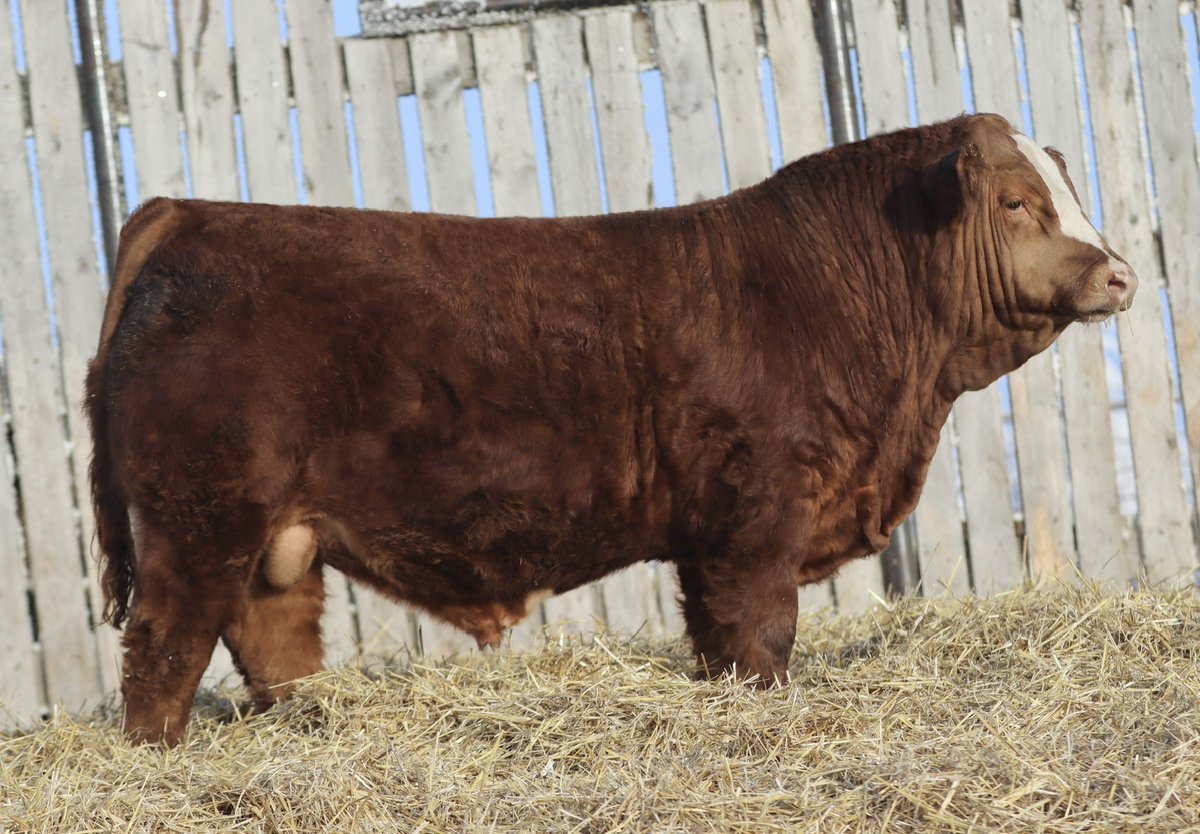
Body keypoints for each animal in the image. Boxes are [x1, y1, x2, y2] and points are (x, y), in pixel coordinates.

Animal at [86, 113, 1136, 745]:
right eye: (1015, 201)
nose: (1119, 272)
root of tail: (190, 213)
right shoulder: (755, 519)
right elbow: (760, 636)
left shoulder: (712, 539)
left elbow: (718, 642)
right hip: (197, 518)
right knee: (164, 650)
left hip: (273, 539)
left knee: (272, 642)